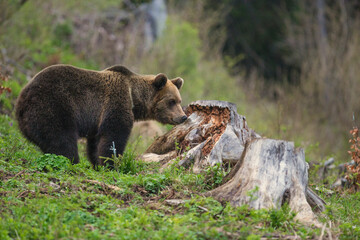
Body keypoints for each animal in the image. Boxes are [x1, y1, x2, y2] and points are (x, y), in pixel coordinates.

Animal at [15, 64, 187, 168]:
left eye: (179, 101)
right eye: (171, 101)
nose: (183, 117)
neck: (134, 98)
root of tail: (21, 101)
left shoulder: (97, 122)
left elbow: (95, 143)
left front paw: (97, 163)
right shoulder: (115, 104)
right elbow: (113, 137)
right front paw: (112, 163)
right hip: (54, 107)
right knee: (62, 140)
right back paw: (73, 162)